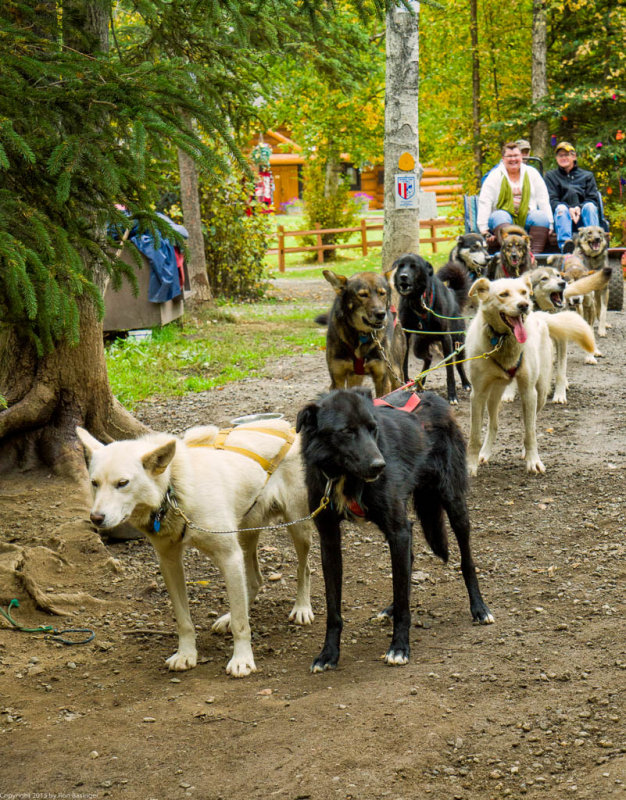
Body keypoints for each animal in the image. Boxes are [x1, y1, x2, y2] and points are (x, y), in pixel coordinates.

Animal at [76, 422, 314, 680]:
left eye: (122, 483)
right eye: (94, 483)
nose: (96, 518)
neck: (174, 489)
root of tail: (288, 428)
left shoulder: (229, 557)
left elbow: (241, 624)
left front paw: (242, 660)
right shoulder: (169, 562)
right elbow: (184, 621)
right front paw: (186, 654)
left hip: (297, 527)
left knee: (304, 569)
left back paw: (302, 608)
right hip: (245, 533)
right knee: (254, 581)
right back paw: (228, 617)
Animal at [294, 388, 494, 676]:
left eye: (373, 428)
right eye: (346, 431)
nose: (380, 465)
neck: (343, 476)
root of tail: (432, 396)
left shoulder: (398, 529)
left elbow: (403, 604)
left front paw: (399, 647)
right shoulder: (330, 538)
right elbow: (333, 608)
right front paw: (328, 653)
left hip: (454, 504)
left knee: (466, 560)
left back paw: (479, 608)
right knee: (408, 561)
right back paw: (390, 608)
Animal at [316, 268, 404, 396]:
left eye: (382, 293)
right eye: (362, 295)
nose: (381, 314)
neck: (362, 335)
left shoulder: (382, 378)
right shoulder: (337, 378)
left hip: (395, 371)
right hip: (355, 377)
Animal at [390, 255, 468, 406]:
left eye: (414, 266)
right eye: (400, 266)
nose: (403, 276)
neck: (417, 301)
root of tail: (453, 294)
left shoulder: (446, 338)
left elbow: (450, 370)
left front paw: (452, 395)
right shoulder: (406, 335)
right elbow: (404, 363)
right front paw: (406, 382)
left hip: (458, 342)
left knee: (459, 364)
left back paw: (466, 383)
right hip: (418, 346)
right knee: (428, 358)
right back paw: (420, 382)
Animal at [466, 276, 592, 476]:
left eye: (524, 292)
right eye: (503, 294)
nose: (524, 305)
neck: (502, 341)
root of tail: (538, 315)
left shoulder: (528, 391)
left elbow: (530, 432)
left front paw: (533, 461)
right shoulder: (477, 394)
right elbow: (475, 436)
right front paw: (471, 465)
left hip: (539, 393)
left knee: (529, 424)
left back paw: (526, 451)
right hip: (493, 396)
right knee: (494, 424)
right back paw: (485, 453)